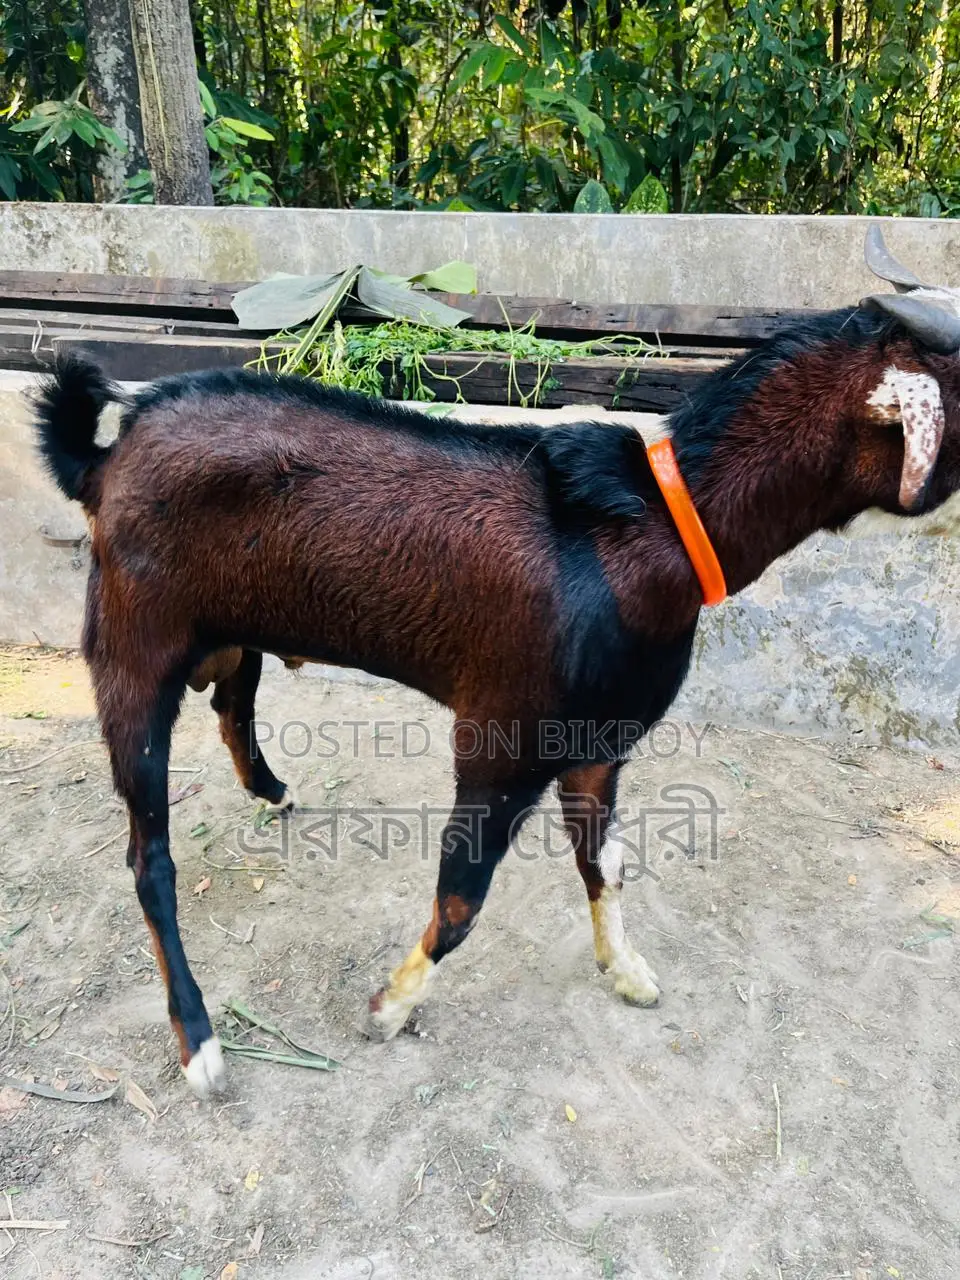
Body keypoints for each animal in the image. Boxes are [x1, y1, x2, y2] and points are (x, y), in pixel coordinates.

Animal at [32, 228, 960, 1096]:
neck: (660, 524)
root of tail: (104, 456)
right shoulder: (503, 736)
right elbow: (462, 894)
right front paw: (389, 1006)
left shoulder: (598, 743)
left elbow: (605, 863)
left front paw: (626, 971)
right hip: (133, 645)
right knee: (149, 857)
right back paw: (199, 1042)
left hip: (229, 627)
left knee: (233, 705)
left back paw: (273, 790)